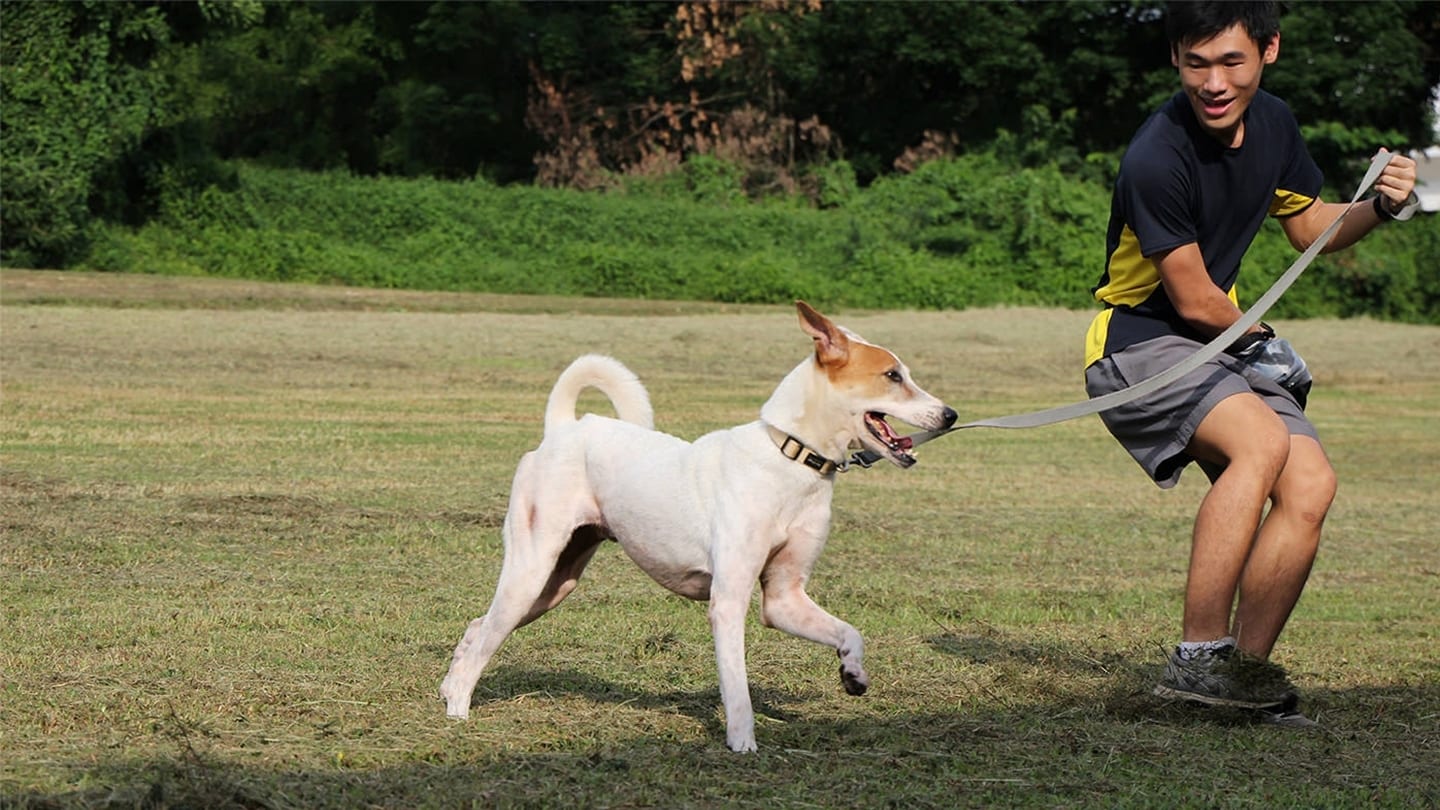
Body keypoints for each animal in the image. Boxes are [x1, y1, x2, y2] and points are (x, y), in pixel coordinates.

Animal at [440, 299, 956, 749]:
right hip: (531, 569)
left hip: (555, 583)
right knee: (487, 636)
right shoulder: (727, 602)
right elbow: (738, 688)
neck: (791, 458)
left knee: (479, 627)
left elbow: (850, 632)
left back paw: (448, 688)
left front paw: (853, 674)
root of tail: (565, 428)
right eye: (893, 376)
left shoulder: (785, 599)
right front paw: (743, 744)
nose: (950, 415)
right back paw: (458, 709)